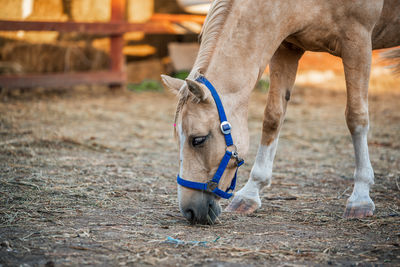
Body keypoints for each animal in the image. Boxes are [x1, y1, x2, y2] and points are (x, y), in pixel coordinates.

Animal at [161, 0, 398, 225]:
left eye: (198, 140)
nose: (189, 211)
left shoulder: (357, 41)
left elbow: (356, 117)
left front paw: (360, 197)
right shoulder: (285, 46)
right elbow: (273, 117)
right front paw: (250, 192)